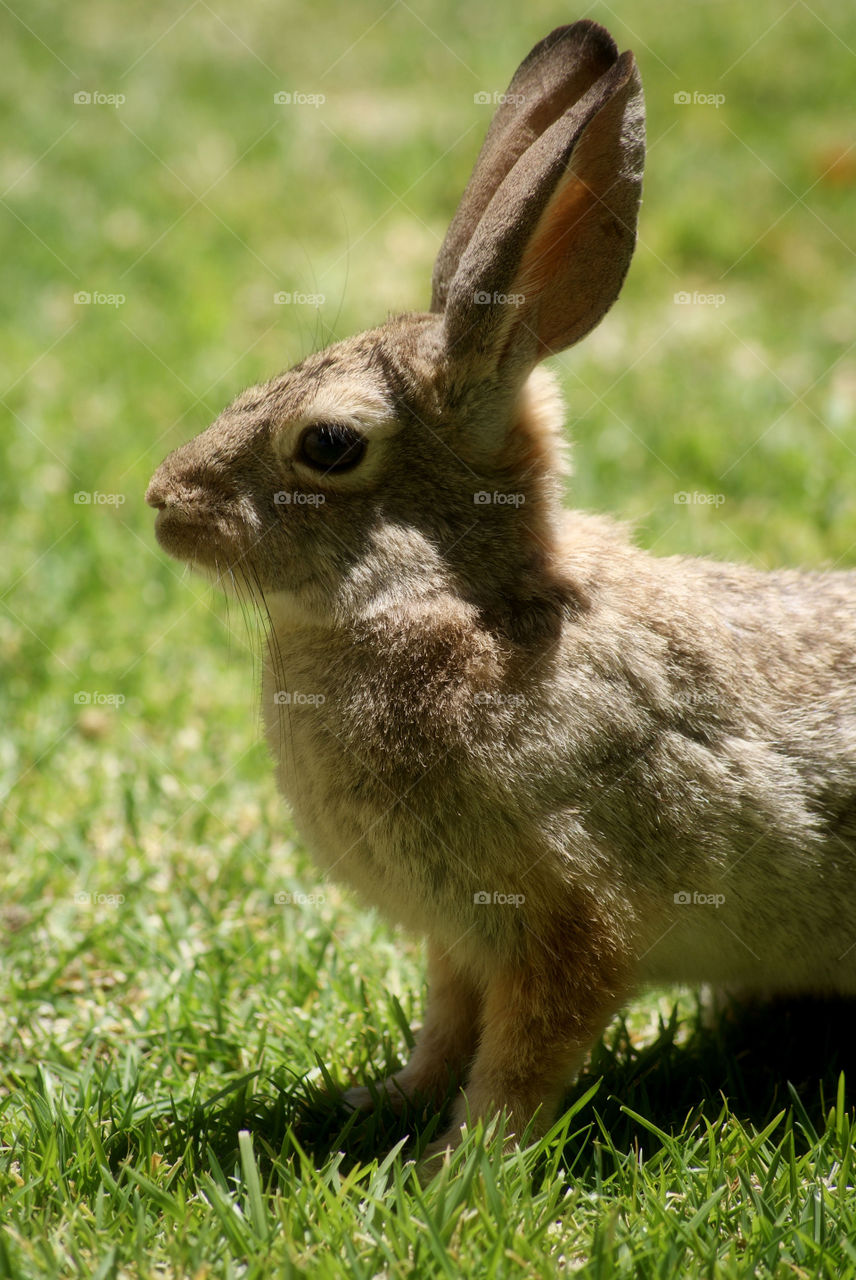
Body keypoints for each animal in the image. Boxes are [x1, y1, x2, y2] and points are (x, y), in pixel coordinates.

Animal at [146, 18, 856, 1174]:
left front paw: (461, 1167)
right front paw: (387, 1103)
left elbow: (524, 1055)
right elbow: (448, 1022)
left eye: (328, 443)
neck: (474, 603)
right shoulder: (463, 934)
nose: (163, 502)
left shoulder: (572, 914)